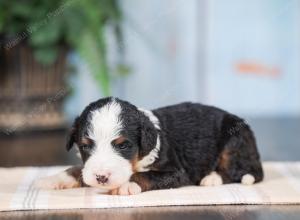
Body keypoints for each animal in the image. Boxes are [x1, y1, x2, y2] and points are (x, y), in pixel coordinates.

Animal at [36, 97, 264, 195]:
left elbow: (146, 175)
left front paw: (127, 184)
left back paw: (212, 178)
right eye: (85, 146)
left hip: (233, 140)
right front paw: (54, 179)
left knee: (237, 170)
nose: (101, 177)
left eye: (123, 145)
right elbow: (79, 169)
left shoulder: (177, 172)